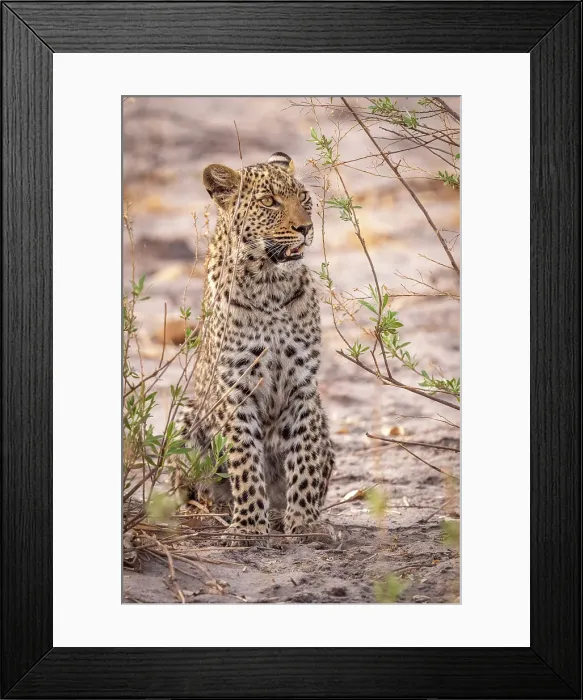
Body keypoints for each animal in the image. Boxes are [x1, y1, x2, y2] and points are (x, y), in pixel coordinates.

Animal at [173, 151, 335, 542]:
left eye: (303, 197)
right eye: (269, 202)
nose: (305, 228)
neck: (269, 284)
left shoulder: (303, 385)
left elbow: (305, 455)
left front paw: (304, 522)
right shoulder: (237, 385)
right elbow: (244, 458)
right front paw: (247, 525)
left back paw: (279, 514)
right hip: (185, 418)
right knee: (194, 487)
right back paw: (210, 510)